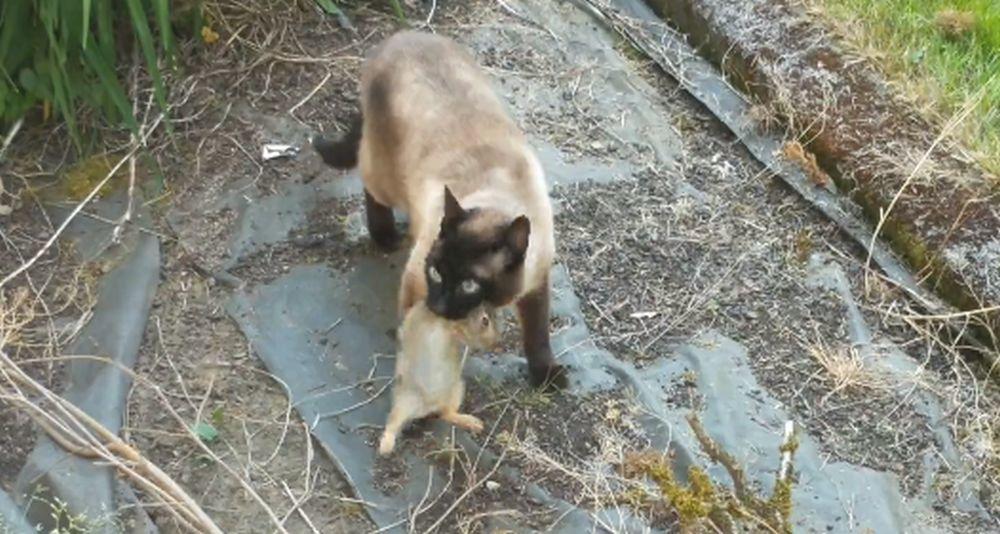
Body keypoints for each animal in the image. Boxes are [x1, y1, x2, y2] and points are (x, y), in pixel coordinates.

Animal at [312, 30, 568, 390]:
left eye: (469, 285)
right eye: (435, 272)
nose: (439, 305)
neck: (500, 200)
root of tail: (396, 38)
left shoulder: (535, 284)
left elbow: (538, 334)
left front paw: (545, 375)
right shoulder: (415, 285)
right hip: (386, 176)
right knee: (369, 182)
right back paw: (386, 236)